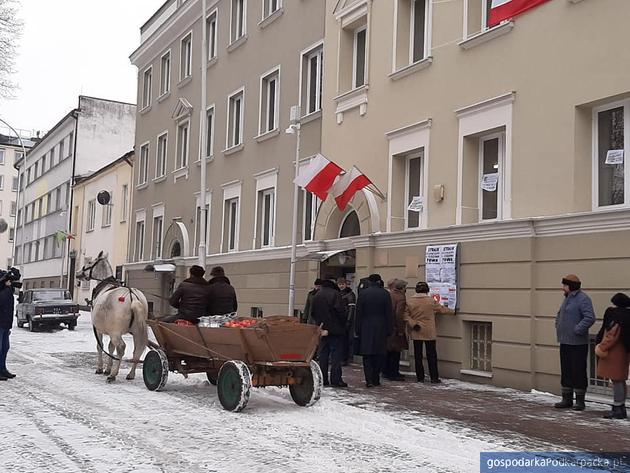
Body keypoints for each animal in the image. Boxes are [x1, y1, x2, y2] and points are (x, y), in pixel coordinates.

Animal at [75, 253, 149, 382]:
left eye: (89, 263)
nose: (78, 273)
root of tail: (133, 297)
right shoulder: (111, 330)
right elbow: (110, 348)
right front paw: (108, 368)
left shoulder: (99, 329)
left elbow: (100, 346)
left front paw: (101, 368)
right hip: (136, 332)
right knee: (137, 350)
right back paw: (130, 374)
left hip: (116, 333)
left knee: (121, 348)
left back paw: (113, 374)